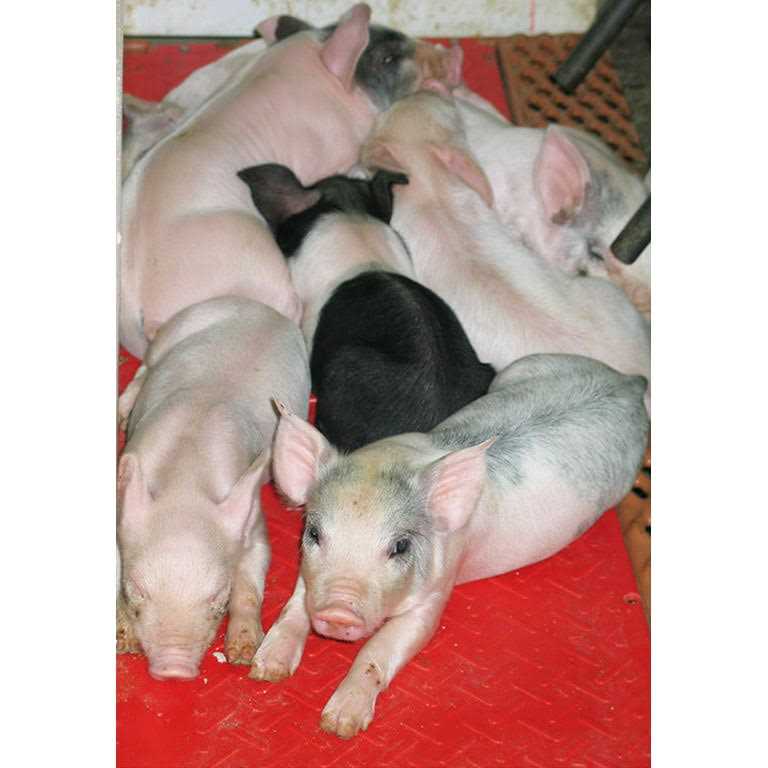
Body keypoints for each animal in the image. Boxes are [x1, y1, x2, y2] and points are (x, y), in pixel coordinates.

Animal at [116, 297, 310, 678]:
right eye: (136, 592)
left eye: (218, 599)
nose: (174, 670)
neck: (185, 483)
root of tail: (262, 308)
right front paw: (124, 641)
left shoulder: (253, 524)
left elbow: (252, 581)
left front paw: (245, 655)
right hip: (174, 331)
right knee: (144, 366)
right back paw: (121, 414)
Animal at [252, 353, 649, 737]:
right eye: (315, 533)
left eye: (400, 546)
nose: (338, 611)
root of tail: (630, 382)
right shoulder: (311, 575)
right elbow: (294, 608)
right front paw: (264, 668)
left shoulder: (439, 586)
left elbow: (385, 645)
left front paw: (338, 724)